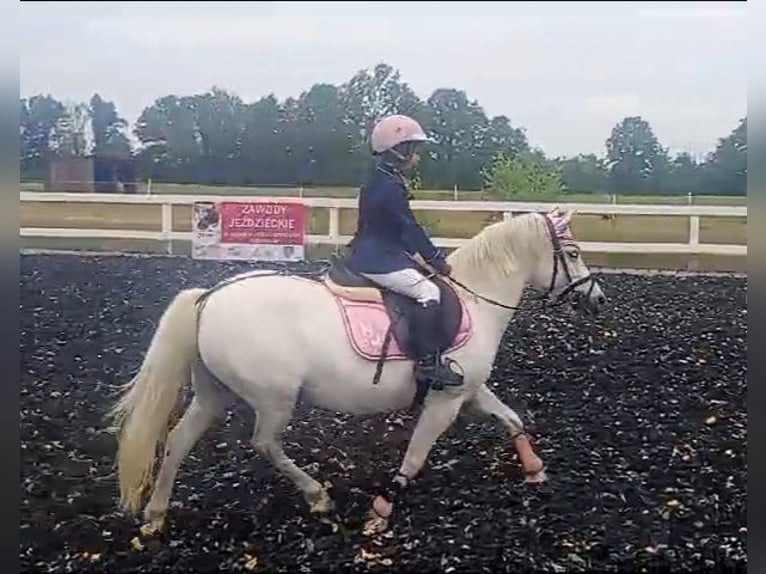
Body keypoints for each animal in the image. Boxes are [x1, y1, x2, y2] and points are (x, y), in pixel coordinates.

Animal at [111, 208, 608, 540]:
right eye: (574, 253)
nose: (598, 299)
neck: (475, 299)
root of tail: (210, 296)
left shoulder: (469, 391)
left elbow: (511, 419)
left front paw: (534, 468)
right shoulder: (445, 401)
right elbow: (414, 457)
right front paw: (382, 508)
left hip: (214, 393)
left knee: (178, 441)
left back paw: (155, 516)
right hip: (274, 398)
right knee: (265, 444)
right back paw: (317, 496)